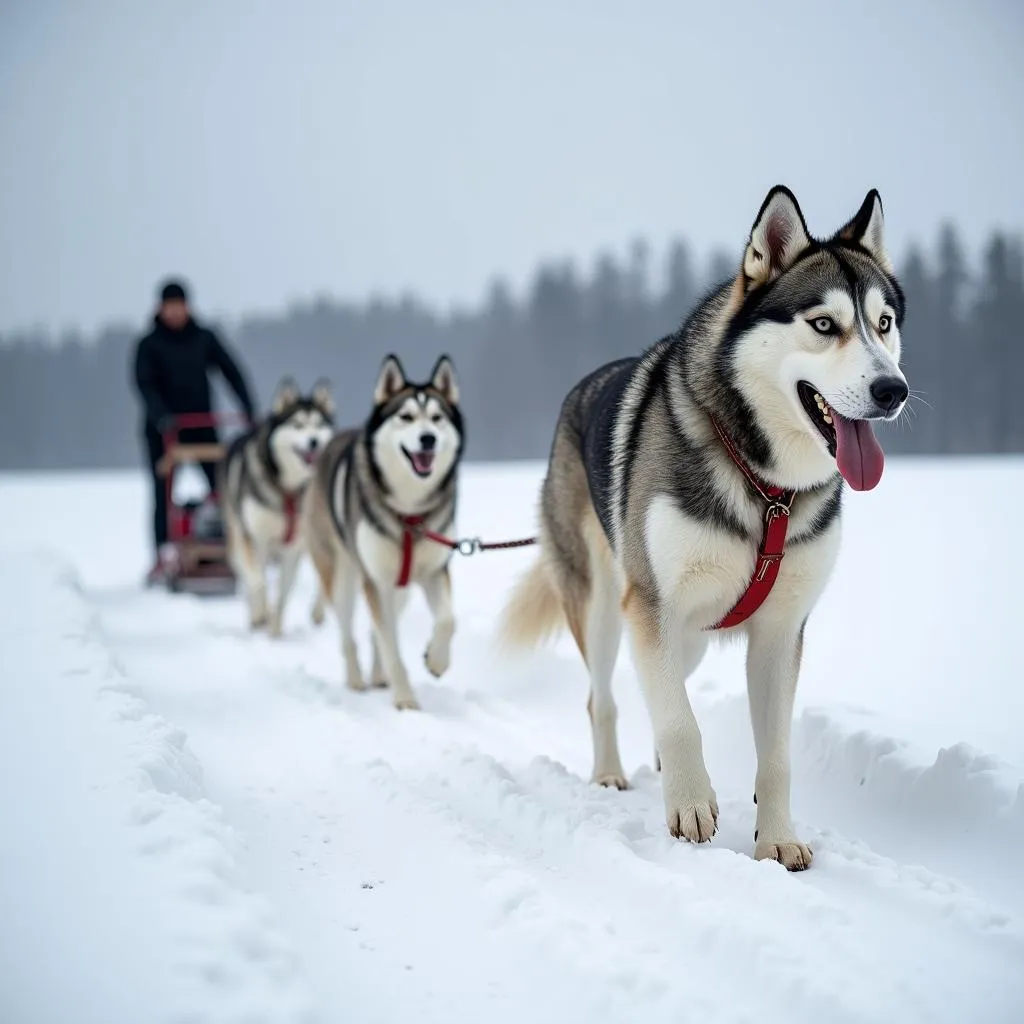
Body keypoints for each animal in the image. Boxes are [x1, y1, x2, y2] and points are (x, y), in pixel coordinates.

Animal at [218, 376, 333, 630]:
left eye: (319, 424)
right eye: (298, 425)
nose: (314, 442)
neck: (286, 489)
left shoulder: (293, 548)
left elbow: (283, 592)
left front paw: (276, 630)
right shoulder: (254, 539)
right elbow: (258, 581)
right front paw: (263, 613)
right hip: (237, 540)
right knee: (248, 576)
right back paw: (256, 614)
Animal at [303, 356, 464, 708]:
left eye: (437, 418)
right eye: (406, 417)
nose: (428, 438)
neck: (408, 512)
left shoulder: (434, 571)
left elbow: (448, 620)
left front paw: (437, 660)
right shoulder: (374, 579)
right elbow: (390, 643)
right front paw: (404, 699)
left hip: (400, 589)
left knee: (380, 628)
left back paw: (378, 676)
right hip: (343, 576)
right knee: (349, 632)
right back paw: (355, 679)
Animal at [499, 188, 909, 868]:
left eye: (883, 323)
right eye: (824, 325)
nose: (892, 389)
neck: (765, 485)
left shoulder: (780, 631)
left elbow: (775, 755)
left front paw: (777, 838)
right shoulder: (652, 604)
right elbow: (679, 720)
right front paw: (690, 804)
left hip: (687, 636)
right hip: (605, 606)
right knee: (604, 696)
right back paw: (611, 774)